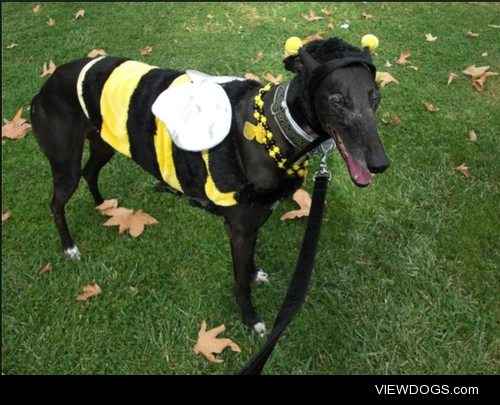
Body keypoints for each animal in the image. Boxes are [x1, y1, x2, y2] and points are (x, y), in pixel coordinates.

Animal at [31, 38, 388, 334]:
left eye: (375, 96)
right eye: (338, 99)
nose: (379, 163)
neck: (274, 127)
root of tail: (47, 83)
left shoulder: (254, 219)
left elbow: (248, 265)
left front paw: (255, 274)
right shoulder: (239, 228)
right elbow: (240, 283)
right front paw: (251, 320)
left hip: (103, 141)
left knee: (91, 173)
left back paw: (102, 205)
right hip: (65, 163)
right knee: (56, 202)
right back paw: (69, 246)